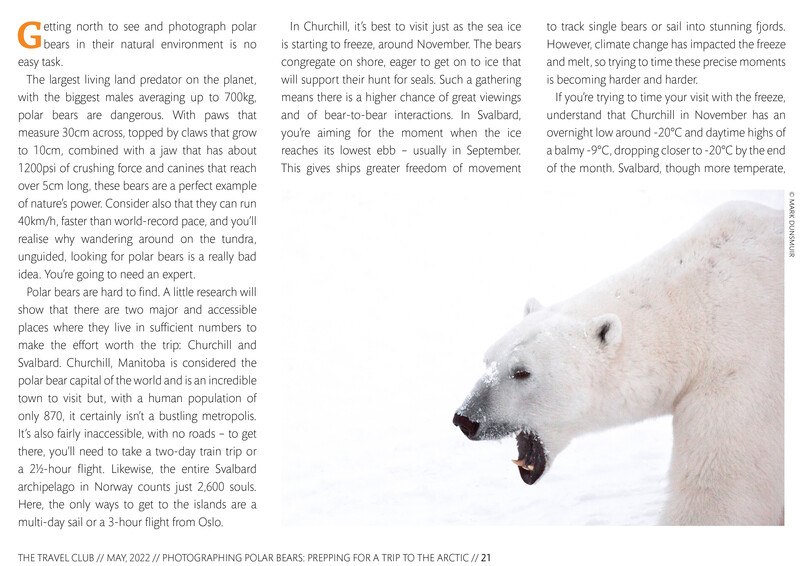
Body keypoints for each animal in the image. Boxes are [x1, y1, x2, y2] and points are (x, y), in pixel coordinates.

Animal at [453, 201, 784, 525]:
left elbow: (719, 488)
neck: (694, 309)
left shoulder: (742, 370)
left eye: (522, 372)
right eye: (487, 361)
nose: (466, 418)